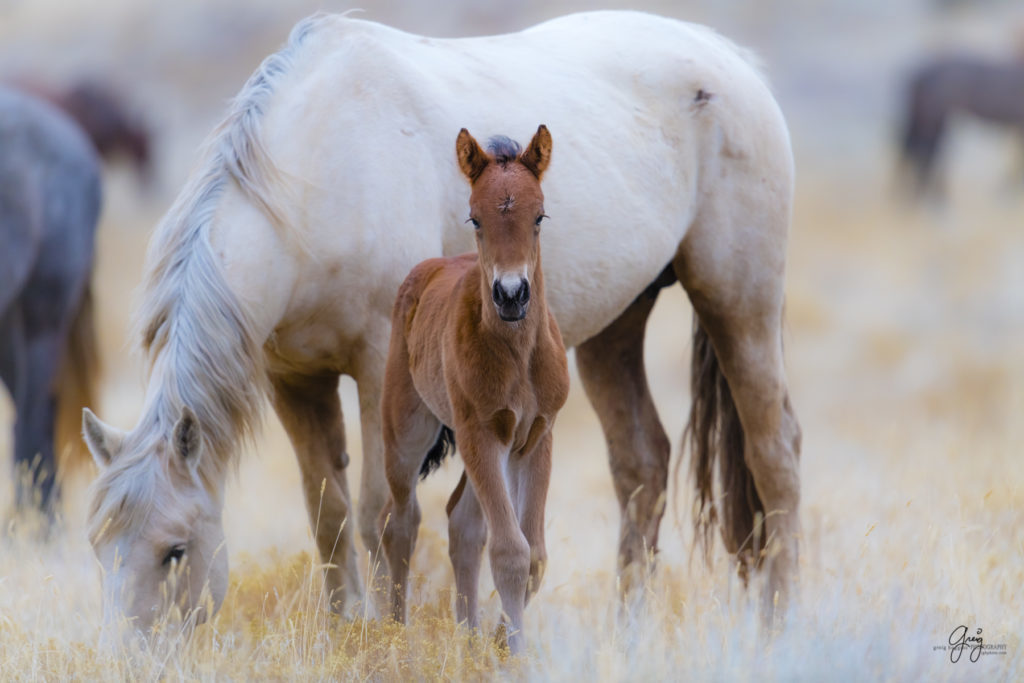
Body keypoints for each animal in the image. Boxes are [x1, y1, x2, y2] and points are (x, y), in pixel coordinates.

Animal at [378, 125, 569, 655]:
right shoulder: (481, 432)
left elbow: (533, 552)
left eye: (540, 216)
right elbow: (510, 551)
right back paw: (396, 632)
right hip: (406, 431)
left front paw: (501, 642)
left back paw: (468, 634)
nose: (511, 294)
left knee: (461, 522)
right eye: (475, 218)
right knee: (400, 520)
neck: (518, 357)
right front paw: (515, 654)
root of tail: (428, 268)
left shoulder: (534, 437)